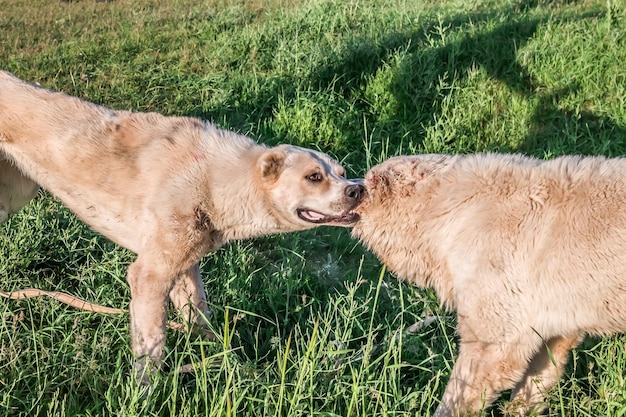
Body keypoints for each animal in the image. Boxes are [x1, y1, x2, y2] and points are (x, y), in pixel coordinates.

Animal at [0, 70, 364, 382]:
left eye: (342, 173)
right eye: (313, 177)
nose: (358, 189)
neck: (217, 181)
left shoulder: (184, 268)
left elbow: (203, 323)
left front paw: (227, 367)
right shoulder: (149, 275)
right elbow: (151, 346)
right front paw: (142, 396)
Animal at [348, 154, 624, 416]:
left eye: (368, 182)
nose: (353, 187)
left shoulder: (500, 294)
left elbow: (473, 378)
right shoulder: (555, 319)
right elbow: (539, 373)